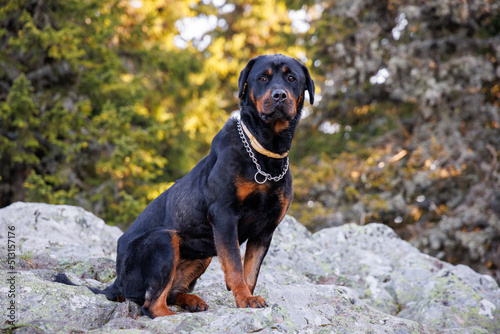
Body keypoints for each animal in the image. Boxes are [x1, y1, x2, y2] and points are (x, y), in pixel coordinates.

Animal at [54, 53, 312, 318]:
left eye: (291, 78)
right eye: (262, 78)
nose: (279, 95)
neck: (264, 151)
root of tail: (116, 282)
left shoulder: (265, 229)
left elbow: (251, 272)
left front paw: (247, 297)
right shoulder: (224, 216)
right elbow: (235, 267)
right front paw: (244, 298)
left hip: (203, 253)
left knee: (170, 292)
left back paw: (191, 300)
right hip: (164, 239)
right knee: (150, 304)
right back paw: (172, 314)